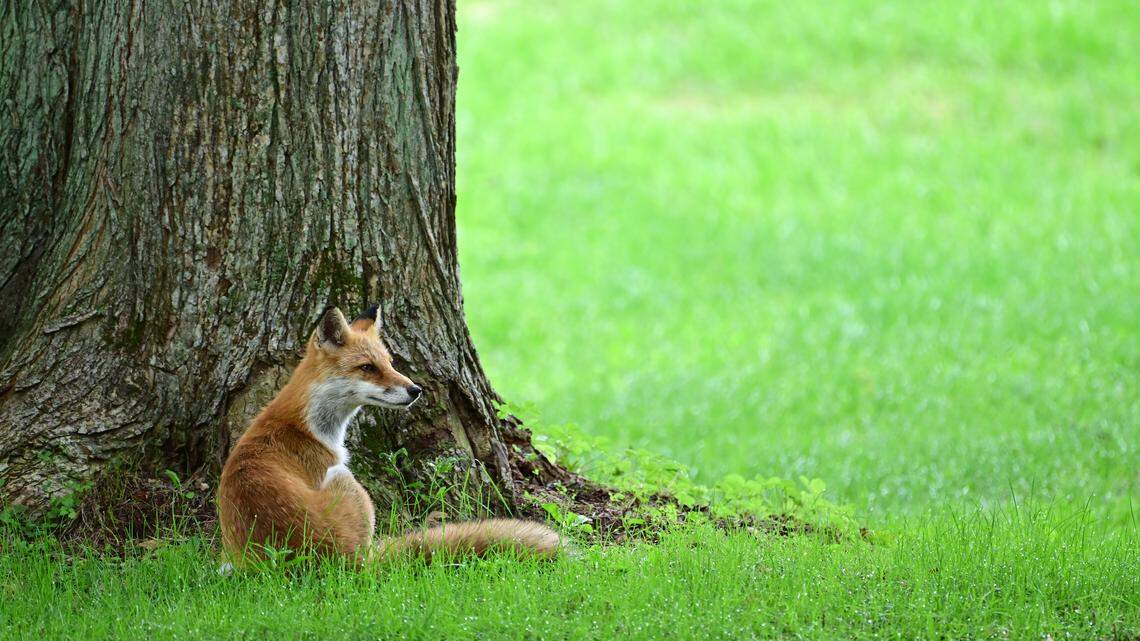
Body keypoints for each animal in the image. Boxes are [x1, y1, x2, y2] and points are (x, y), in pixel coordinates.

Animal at [218, 305, 561, 566]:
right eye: (367, 367)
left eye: (390, 363)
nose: (415, 390)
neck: (307, 426)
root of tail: (344, 564)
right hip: (347, 481)